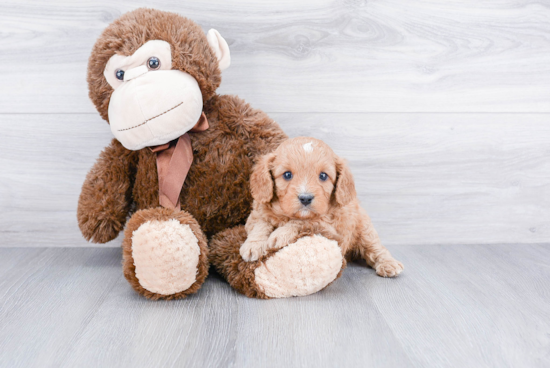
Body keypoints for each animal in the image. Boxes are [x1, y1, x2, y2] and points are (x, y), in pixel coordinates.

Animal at [242, 137, 406, 278]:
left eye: (323, 176)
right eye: (287, 175)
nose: (306, 198)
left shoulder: (329, 227)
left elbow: (303, 222)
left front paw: (280, 234)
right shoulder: (255, 215)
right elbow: (261, 224)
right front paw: (253, 245)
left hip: (365, 230)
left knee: (376, 248)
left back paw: (389, 264)